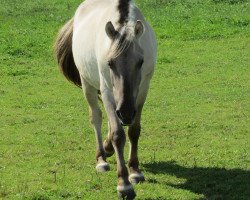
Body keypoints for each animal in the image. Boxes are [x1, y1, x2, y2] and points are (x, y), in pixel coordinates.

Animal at [54, 0, 156, 198]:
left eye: (140, 62)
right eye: (110, 63)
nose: (126, 113)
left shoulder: (142, 91)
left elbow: (134, 131)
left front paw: (135, 171)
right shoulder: (108, 91)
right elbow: (118, 134)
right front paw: (124, 184)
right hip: (88, 84)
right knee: (96, 117)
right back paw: (101, 157)